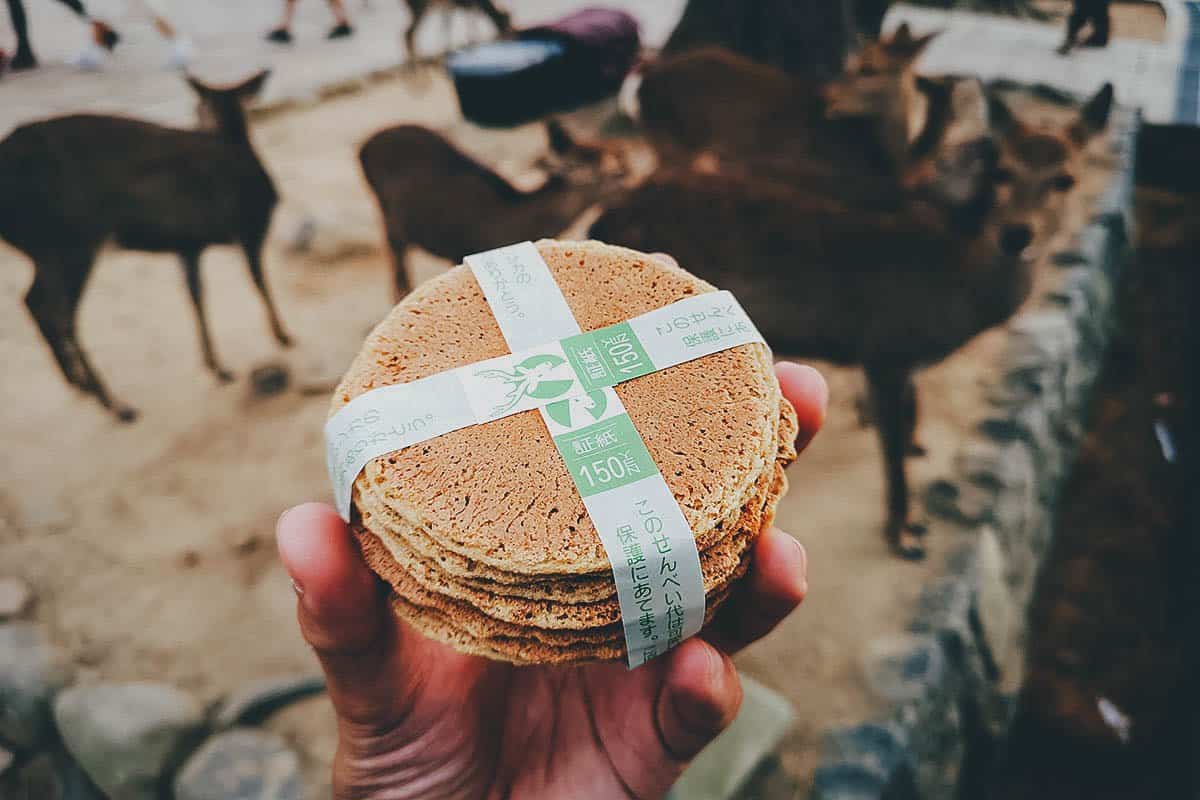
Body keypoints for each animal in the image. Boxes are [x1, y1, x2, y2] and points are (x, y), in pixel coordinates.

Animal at [0, 71, 289, 422]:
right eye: (196, 108)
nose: (200, 120)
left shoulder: (188, 245)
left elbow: (196, 296)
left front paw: (217, 366)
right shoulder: (251, 226)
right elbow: (259, 282)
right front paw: (284, 336)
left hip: (46, 251)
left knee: (33, 300)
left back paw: (78, 383)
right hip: (72, 241)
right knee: (60, 315)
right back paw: (114, 404)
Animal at [357, 117, 628, 296]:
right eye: (610, 172)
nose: (630, 177)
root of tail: (363, 147)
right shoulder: (460, 248)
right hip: (384, 208)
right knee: (396, 252)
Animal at [590, 81, 1113, 556]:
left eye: (1065, 178)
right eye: (1002, 171)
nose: (1016, 234)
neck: (953, 289)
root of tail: (605, 218)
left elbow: (909, 416)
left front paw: (915, 452)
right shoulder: (884, 348)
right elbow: (893, 445)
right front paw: (905, 533)